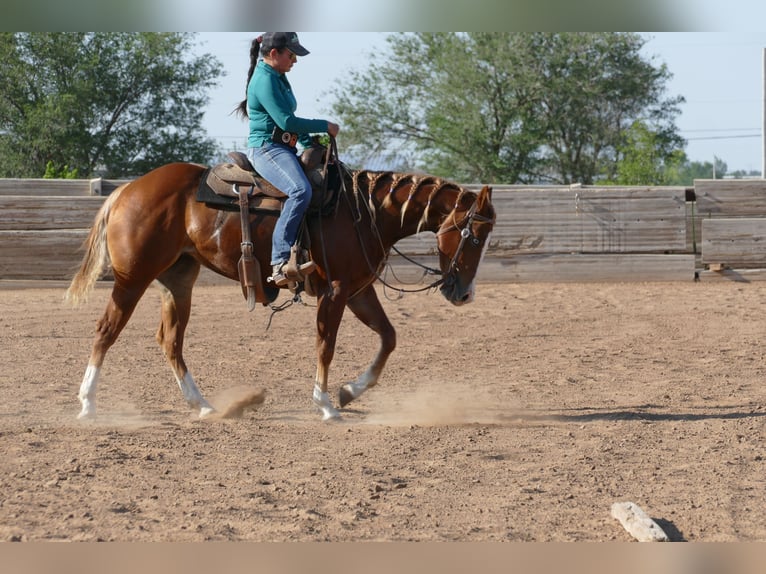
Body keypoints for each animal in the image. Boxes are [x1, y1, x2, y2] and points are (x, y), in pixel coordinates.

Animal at [65, 156, 496, 422]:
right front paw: (326, 404)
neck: (364, 212)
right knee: (106, 331)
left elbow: (388, 338)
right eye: (474, 236)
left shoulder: (359, 291)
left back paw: (203, 406)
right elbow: (326, 346)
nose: (465, 294)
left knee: (170, 341)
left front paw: (349, 392)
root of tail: (127, 190)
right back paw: (87, 405)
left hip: (178, 282)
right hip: (133, 279)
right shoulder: (336, 291)